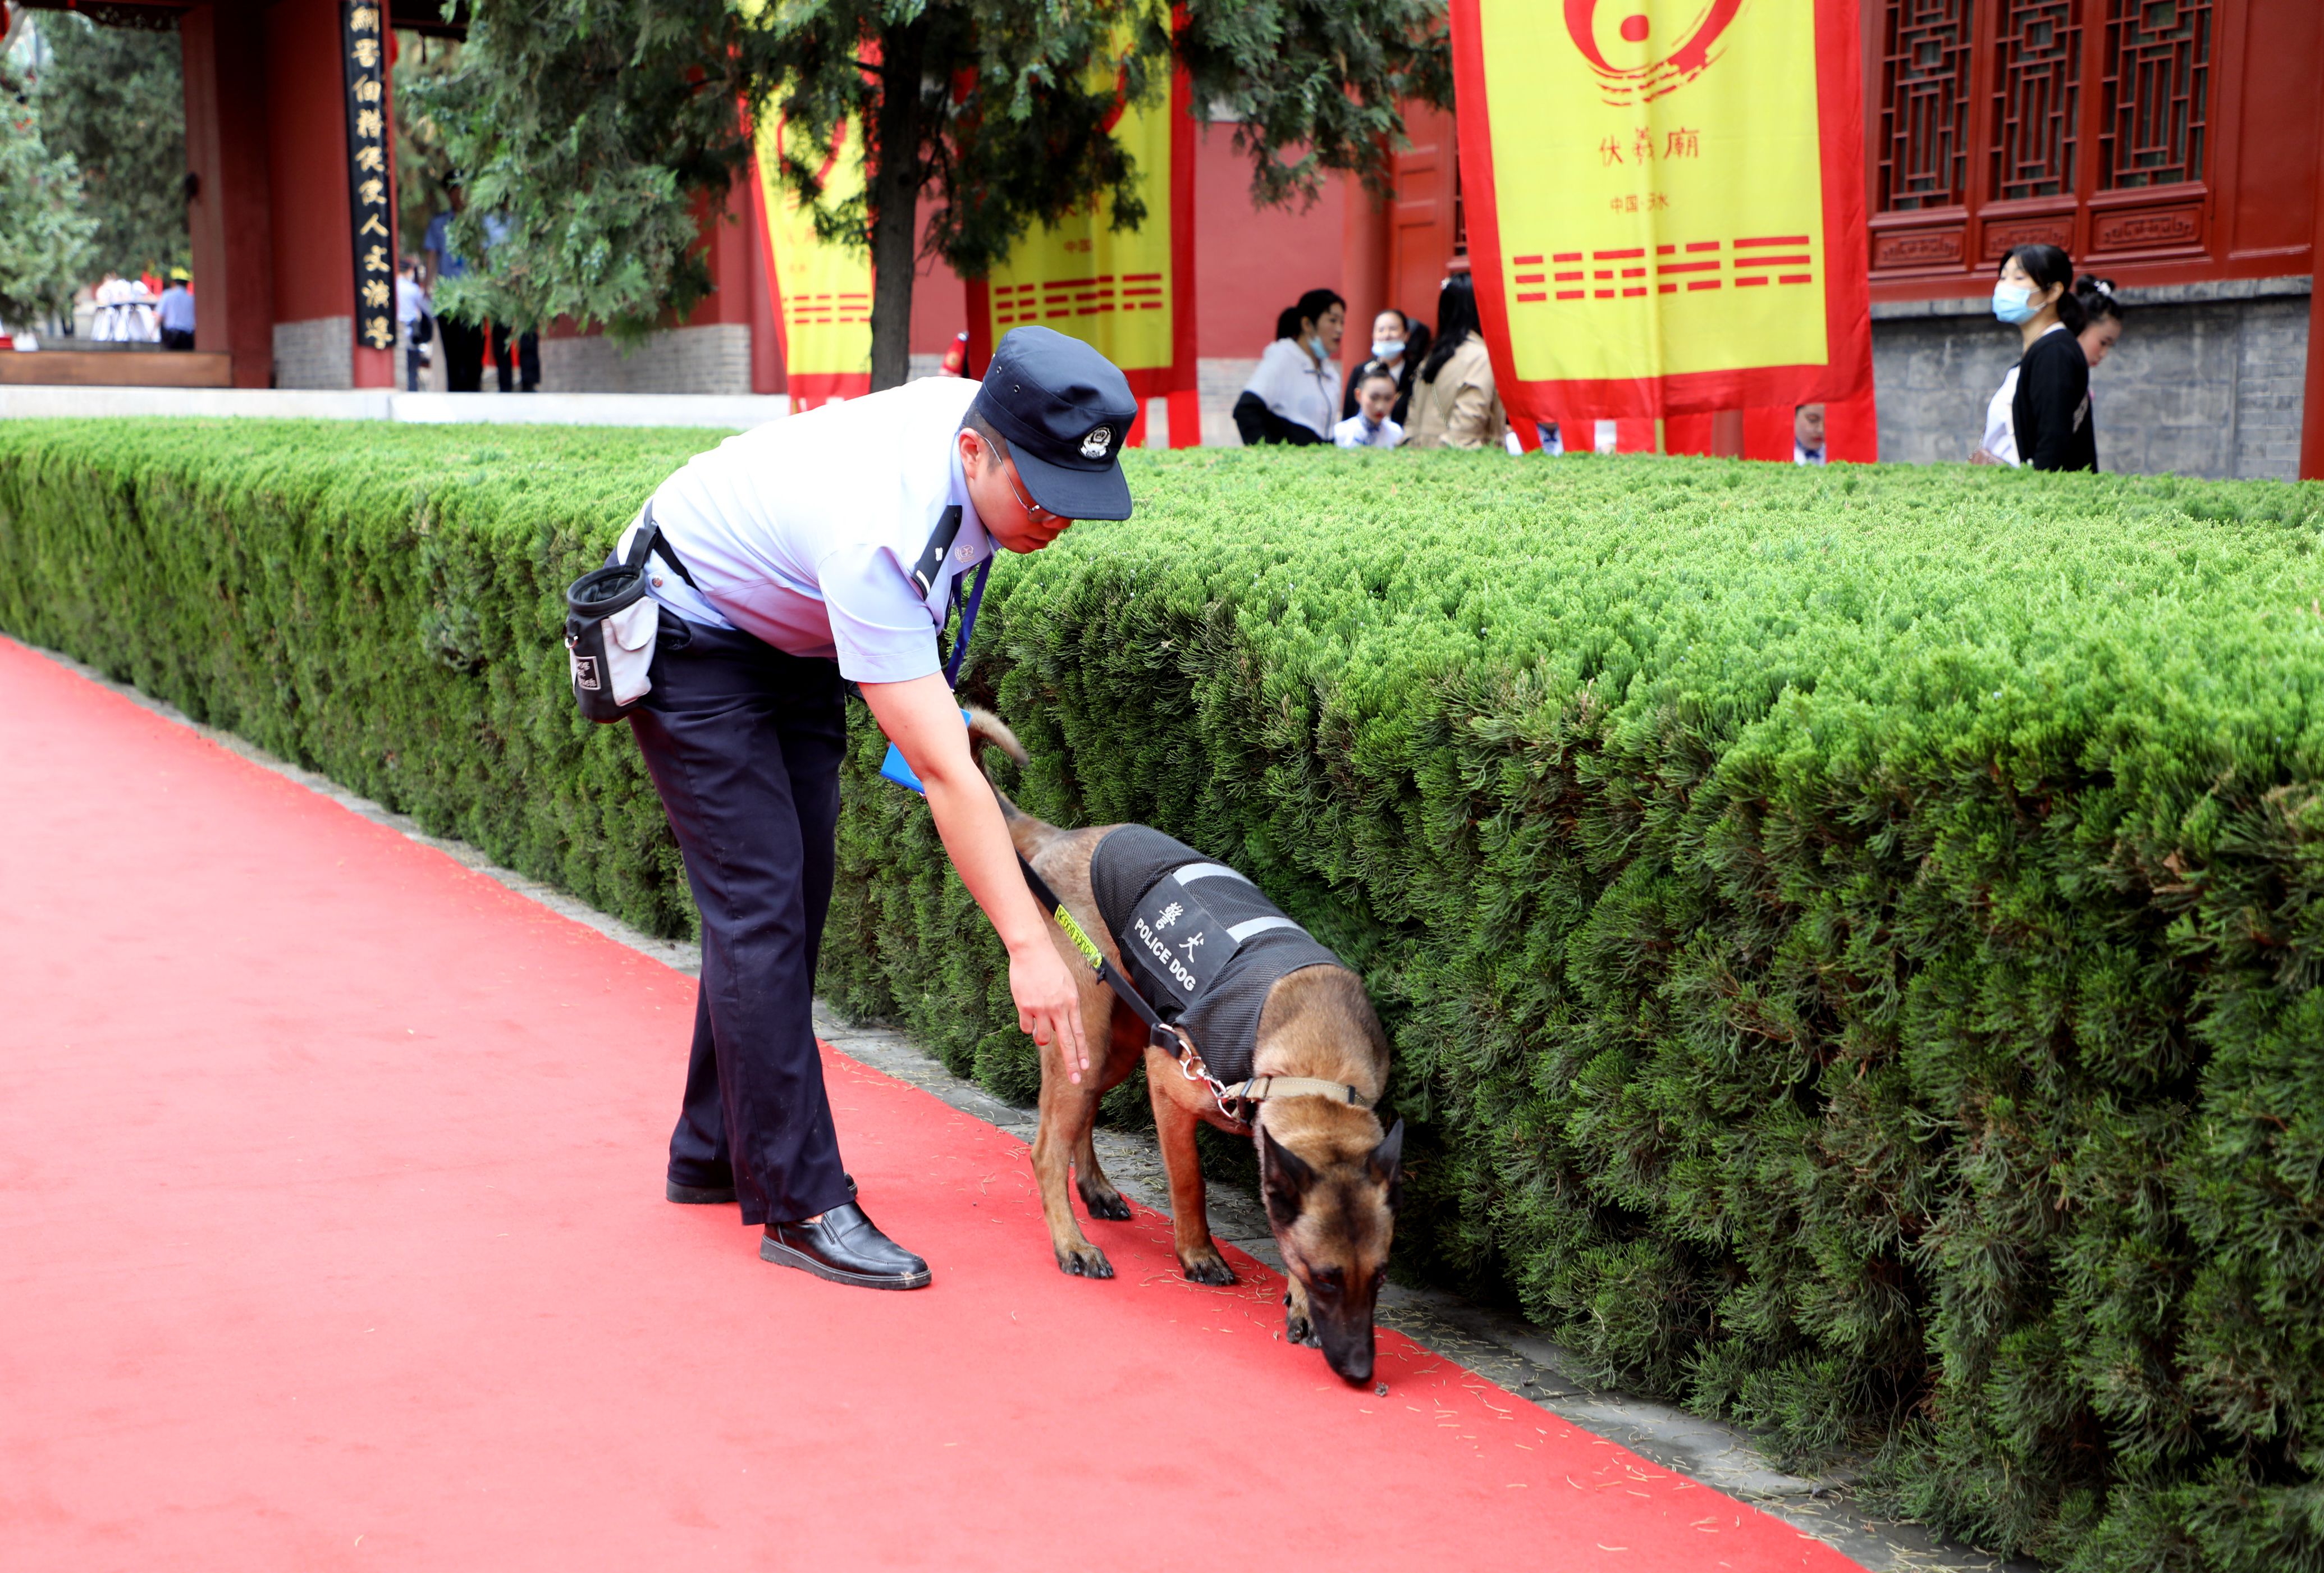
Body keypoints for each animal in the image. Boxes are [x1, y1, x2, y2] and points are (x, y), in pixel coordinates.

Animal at [967, 709, 1403, 1386]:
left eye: (1377, 1278)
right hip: (1090, 1032)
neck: (1315, 1064)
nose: (1360, 1372)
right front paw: (1198, 1254)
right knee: (1045, 1147)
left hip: (1113, 1044)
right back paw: (1071, 1243)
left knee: (1079, 1117)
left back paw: (1096, 1188)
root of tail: (1064, 837)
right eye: (1324, 1276)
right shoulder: (1170, 1084)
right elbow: (1189, 1183)